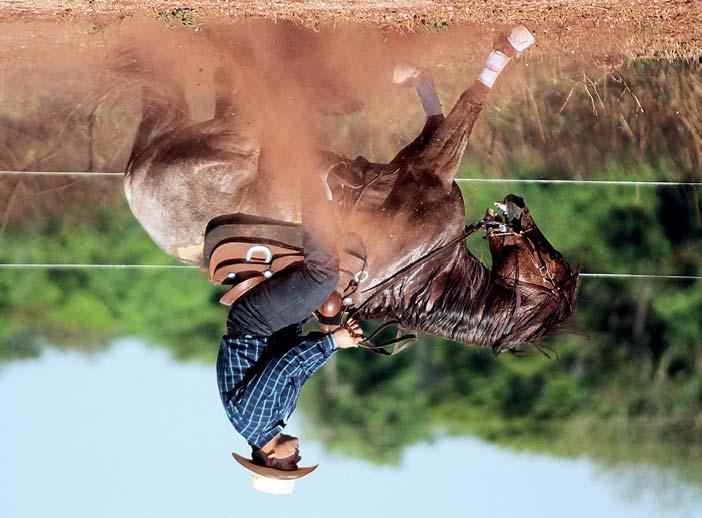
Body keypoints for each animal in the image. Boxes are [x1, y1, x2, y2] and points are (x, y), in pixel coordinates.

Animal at [124, 26, 580, 360]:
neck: (425, 272)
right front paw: (512, 40)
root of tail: (134, 185)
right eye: (553, 264)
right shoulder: (425, 166)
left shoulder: (421, 166)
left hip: (226, 131)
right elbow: (461, 108)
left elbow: (451, 113)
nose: (518, 207)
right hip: (235, 131)